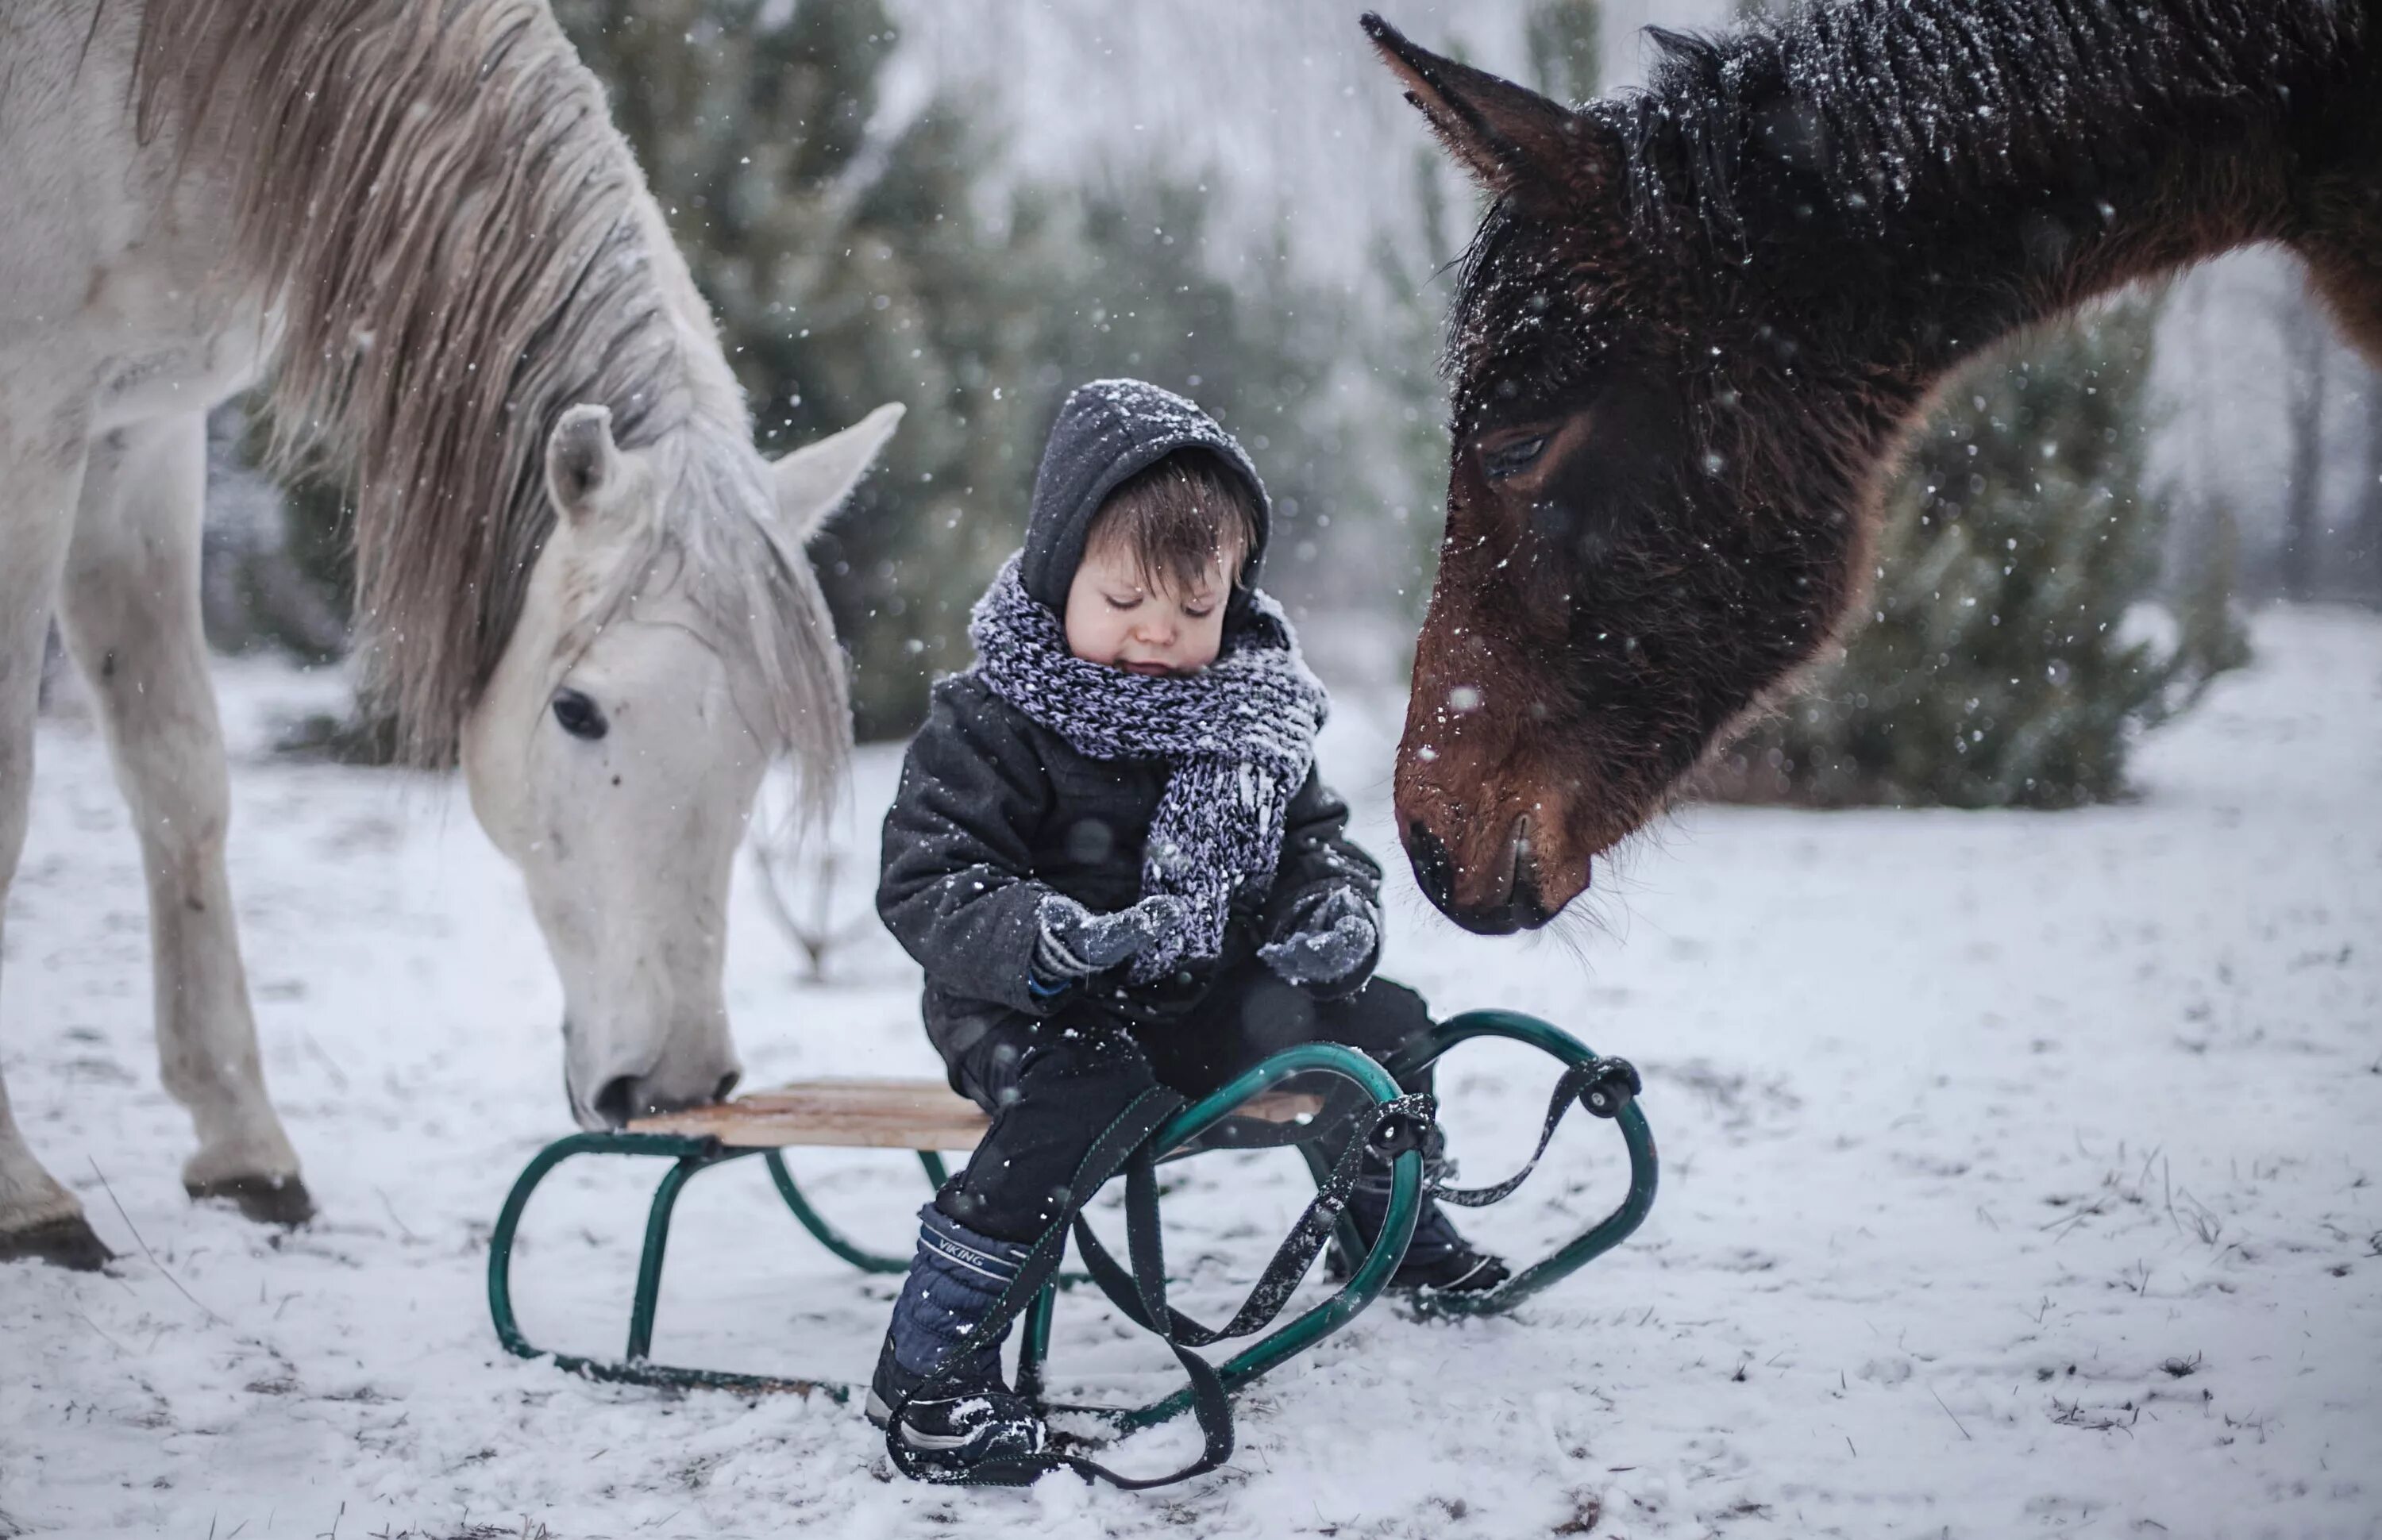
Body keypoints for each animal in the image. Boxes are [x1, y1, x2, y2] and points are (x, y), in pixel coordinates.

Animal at [0, 6, 900, 1276]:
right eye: (576, 710)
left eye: (769, 737)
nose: (674, 1084)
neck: (167, 73)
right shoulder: (32, 422)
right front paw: (24, 1197)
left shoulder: (138, 427)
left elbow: (179, 777)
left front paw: (243, 1149)